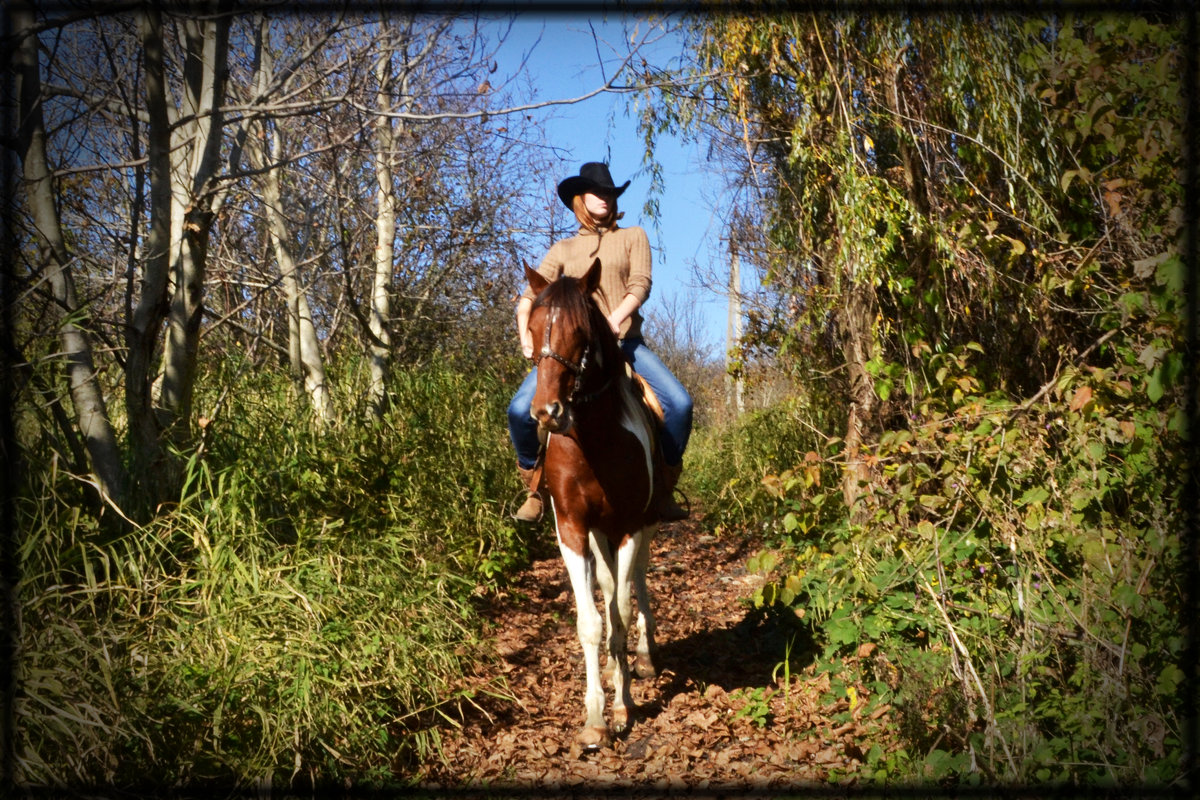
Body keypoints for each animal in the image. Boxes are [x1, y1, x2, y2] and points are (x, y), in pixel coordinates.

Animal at [523, 260, 662, 748]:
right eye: (531, 328)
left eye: (580, 332)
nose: (546, 413)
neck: (593, 440)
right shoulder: (572, 529)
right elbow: (592, 623)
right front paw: (595, 718)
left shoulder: (629, 526)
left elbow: (619, 613)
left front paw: (623, 706)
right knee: (607, 583)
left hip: (642, 527)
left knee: (635, 581)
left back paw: (644, 657)